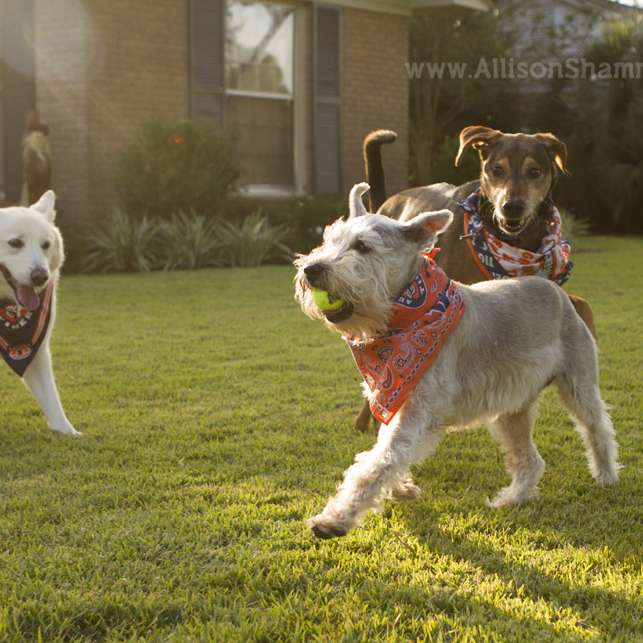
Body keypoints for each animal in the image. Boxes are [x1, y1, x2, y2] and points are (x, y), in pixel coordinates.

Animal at [0, 191, 79, 438]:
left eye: (45, 245)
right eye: (15, 243)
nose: (40, 277)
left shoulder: (37, 352)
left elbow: (52, 399)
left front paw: (68, 432)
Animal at [296, 184, 620, 540]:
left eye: (363, 246)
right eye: (330, 239)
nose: (312, 269)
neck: (405, 316)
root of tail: (560, 294)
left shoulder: (415, 412)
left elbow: (377, 463)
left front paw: (334, 519)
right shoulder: (396, 402)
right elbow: (385, 455)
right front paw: (401, 488)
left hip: (578, 385)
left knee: (597, 427)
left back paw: (606, 475)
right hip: (512, 409)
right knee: (530, 459)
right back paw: (512, 498)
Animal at [354, 124, 596, 432]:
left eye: (534, 171)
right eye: (497, 169)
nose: (511, 206)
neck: (512, 242)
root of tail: (388, 202)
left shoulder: (544, 293)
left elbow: (583, 307)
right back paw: (365, 419)